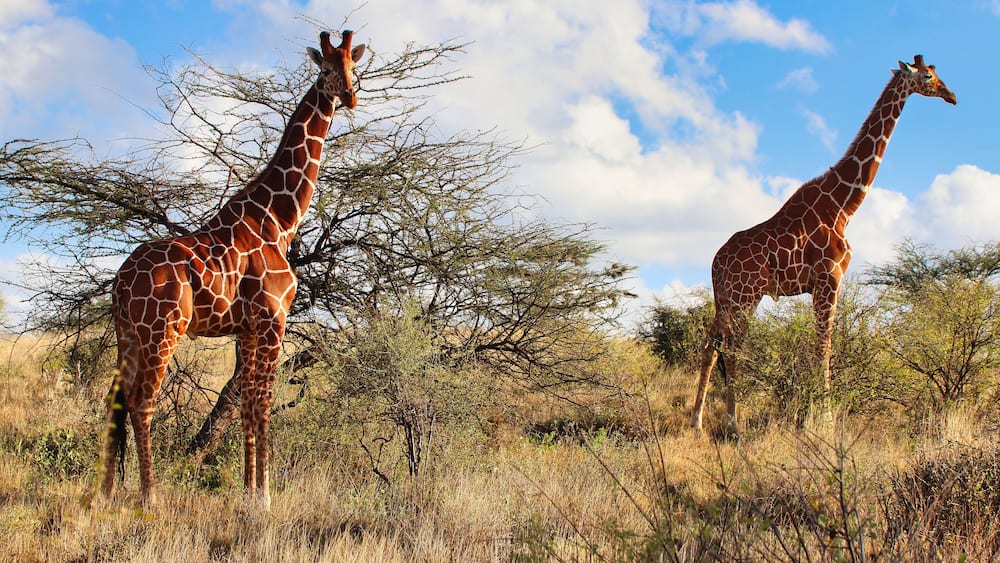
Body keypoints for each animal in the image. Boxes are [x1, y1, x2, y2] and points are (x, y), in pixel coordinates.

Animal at [101, 30, 366, 508]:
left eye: (353, 67)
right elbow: (262, 403)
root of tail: (119, 283)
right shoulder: (273, 318)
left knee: (115, 397)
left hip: (127, 333)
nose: (350, 96)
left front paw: (248, 491)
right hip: (163, 329)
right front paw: (265, 496)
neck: (279, 218)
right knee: (142, 400)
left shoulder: (245, 328)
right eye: (324, 69)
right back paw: (150, 497)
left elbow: (245, 405)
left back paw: (106, 494)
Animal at [690, 55, 956, 435]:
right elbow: (824, 347)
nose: (952, 96)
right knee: (733, 348)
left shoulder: (826, 284)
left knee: (711, 344)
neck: (844, 205)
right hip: (746, 296)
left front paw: (815, 416)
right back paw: (733, 424)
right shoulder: (829, 279)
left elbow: (820, 346)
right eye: (929, 77)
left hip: (724, 298)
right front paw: (824, 421)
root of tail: (716, 261)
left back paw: (697, 421)